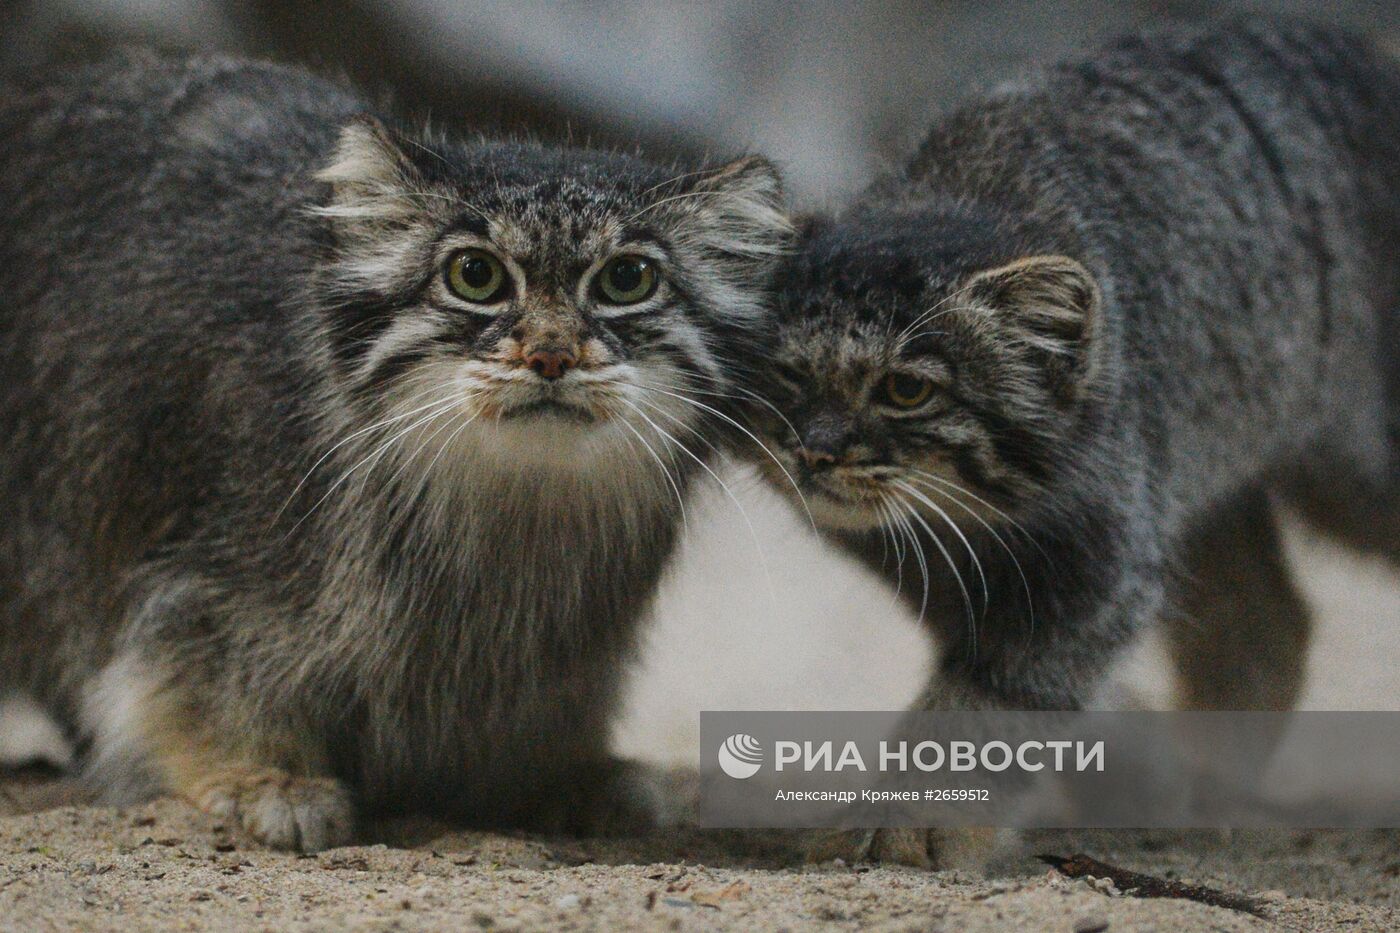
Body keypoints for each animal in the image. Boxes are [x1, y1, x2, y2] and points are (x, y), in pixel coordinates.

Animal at [0, 54, 789, 846]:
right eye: (476, 275)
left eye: (627, 279)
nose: (551, 355)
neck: (505, 513)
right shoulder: (210, 581)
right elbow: (196, 676)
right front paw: (261, 774)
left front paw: (555, 773)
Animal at [744, 19, 1400, 862]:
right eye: (788, 375)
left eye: (906, 390)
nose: (815, 451)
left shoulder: (1096, 566)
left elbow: (986, 705)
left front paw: (910, 817)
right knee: (1269, 622)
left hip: (1352, 480)